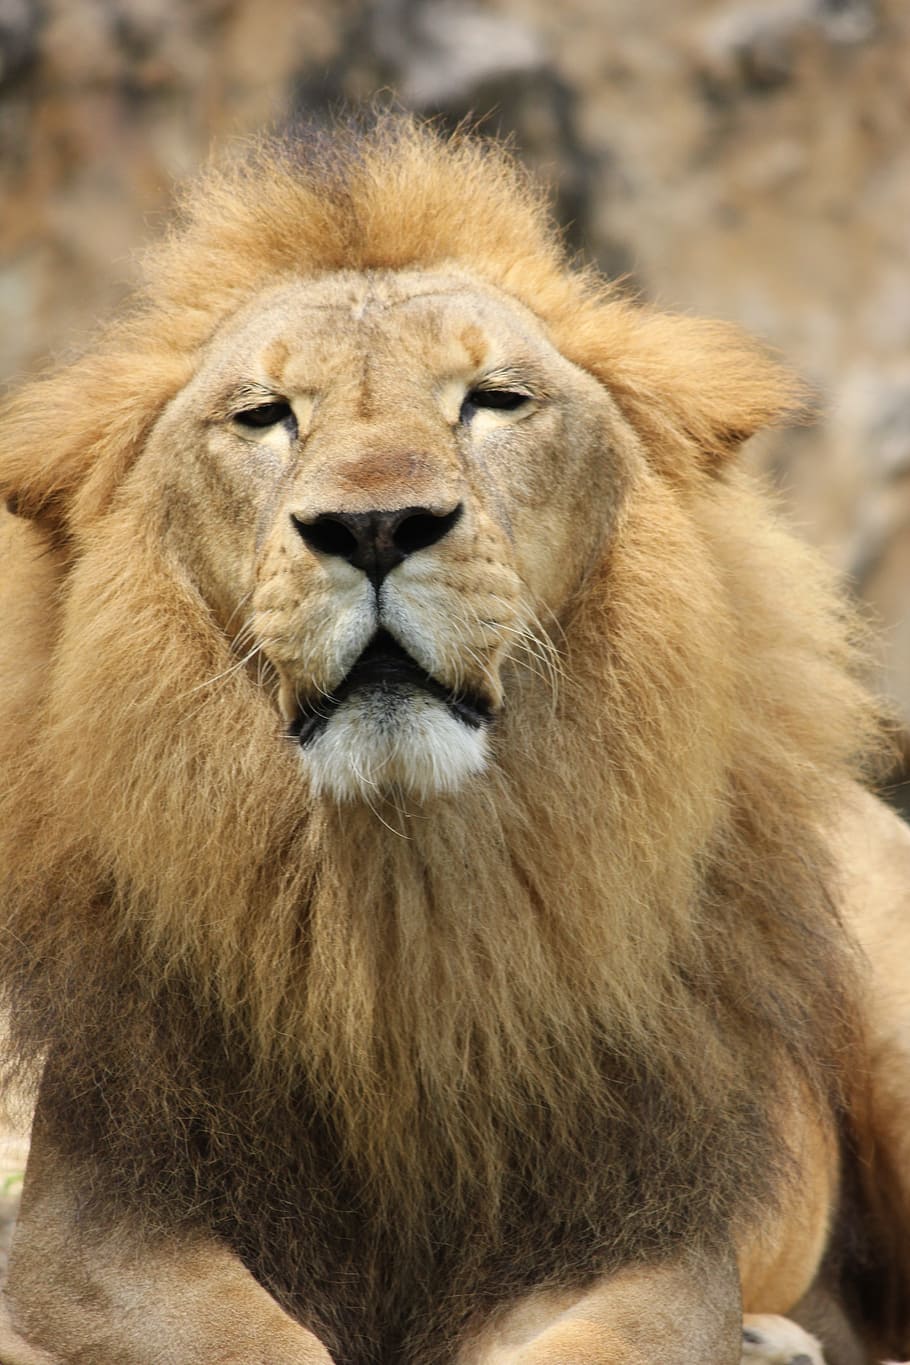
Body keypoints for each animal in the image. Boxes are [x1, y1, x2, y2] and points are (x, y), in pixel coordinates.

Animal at [0, 117, 908, 1365]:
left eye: (495, 400)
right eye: (264, 413)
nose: (377, 527)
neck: (404, 896)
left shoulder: (639, 1235)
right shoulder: (90, 1224)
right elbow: (256, 1341)